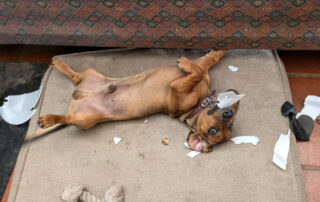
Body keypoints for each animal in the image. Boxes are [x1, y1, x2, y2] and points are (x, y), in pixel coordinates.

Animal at [27, 50, 239, 152]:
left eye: (214, 131)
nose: (228, 112)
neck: (199, 104)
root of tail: (77, 98)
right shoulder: (200, 69)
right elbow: (204, 64)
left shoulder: (177, 88)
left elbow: (196, 72)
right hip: (91, 73)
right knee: (74, 77)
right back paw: (59, 63)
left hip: (86, 121)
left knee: (69, 117)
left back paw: (49, 119)